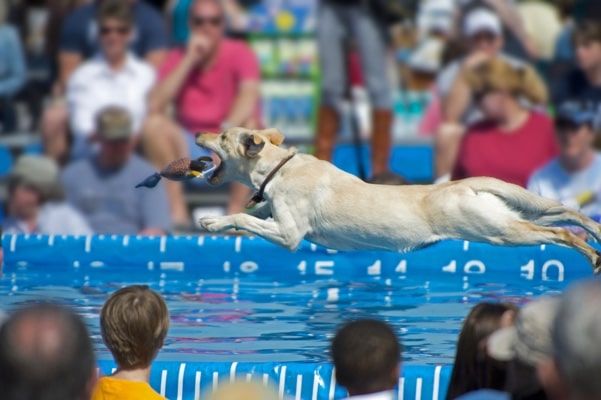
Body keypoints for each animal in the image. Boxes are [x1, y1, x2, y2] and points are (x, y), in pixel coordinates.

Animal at [196, 126, 600, 274]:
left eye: (222, 135)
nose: (198, 133)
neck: (277, 168)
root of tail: (467, 184)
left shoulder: (289, 234)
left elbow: (245, 219)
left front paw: (214, 220)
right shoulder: (275, 217)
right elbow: (253, 211)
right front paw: (223, 217)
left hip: (499, 231)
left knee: (562, 234)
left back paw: (591, 254)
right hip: (513, 215)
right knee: (567, 213)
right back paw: (594, 232)